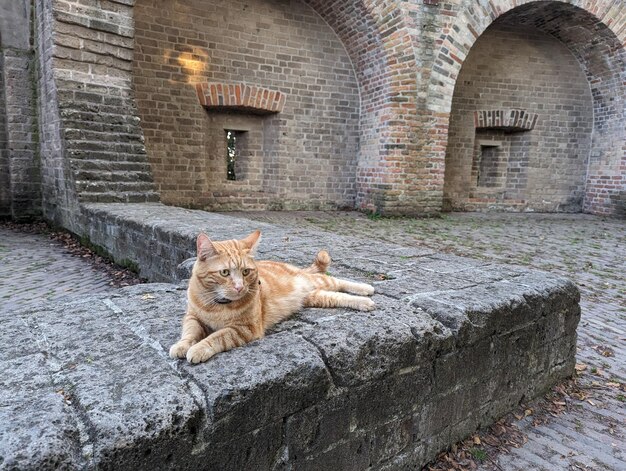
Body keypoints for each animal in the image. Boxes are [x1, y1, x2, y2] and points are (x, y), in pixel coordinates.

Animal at [168, 230, 372, 364]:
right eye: (225, 272)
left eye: (246, 272)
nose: (239, 287)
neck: (217, 305)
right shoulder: (192, 317)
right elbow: (190, 332)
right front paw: (182, 345)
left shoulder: (245, 329)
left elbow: (217, 336)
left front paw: (198, 348)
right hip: (316, 297)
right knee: (337, 295)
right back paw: (364, 302)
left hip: (318, 281)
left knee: (338, 281)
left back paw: (366, 290)